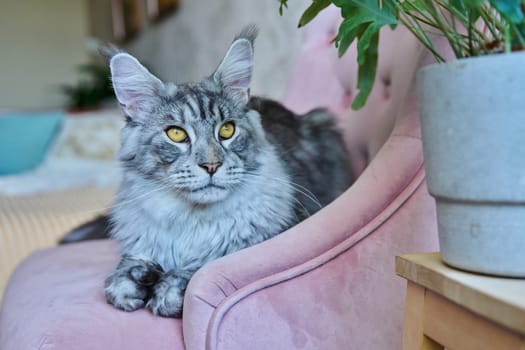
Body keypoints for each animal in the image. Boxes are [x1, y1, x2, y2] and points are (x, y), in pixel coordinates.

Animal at [97, 27, 350, 318]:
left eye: (227, 130)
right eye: (176, 134)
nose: (211, 165)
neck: (191, 222)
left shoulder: (271, 236)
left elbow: (206, 264)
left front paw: (167, 288)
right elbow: (123, 274)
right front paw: (134, 279)